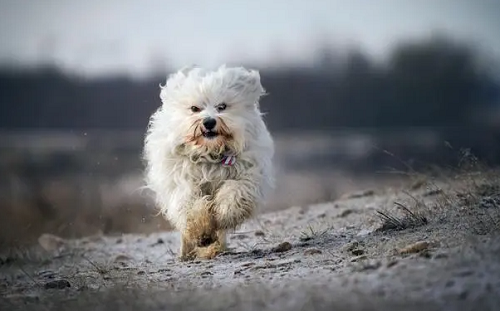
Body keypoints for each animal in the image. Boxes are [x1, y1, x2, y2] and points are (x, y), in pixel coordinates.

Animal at [143, 65, 276, 260]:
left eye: (222, 107)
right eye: (194, 108)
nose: (209, 121)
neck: (210, 153)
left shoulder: (248, 174)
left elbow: (235, 192)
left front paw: (224, 213)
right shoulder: (182, 180)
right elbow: (191, 205)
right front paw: (201, 231)